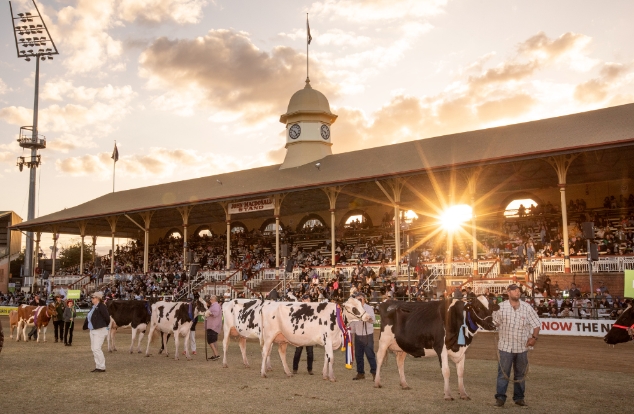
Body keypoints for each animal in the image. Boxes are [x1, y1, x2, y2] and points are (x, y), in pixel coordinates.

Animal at [370, 296, 498, 400]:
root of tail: (387, 302)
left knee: (400, 362)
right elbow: (446, 371)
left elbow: (461, 372)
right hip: (384, 340)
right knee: (379, 358)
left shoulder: (462, 351)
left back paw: (404, 384)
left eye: (491, 308)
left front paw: (463, 394)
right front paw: (447, 395)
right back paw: (377, 382)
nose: (493, 325)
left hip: (402, 345)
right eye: (478, 307)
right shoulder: (441, 347)